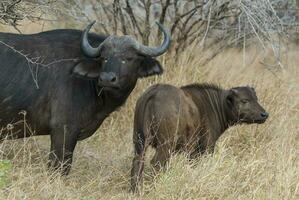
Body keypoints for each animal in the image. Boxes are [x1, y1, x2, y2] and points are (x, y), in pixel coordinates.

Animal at [131, 83, 270, 191]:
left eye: (256, 99)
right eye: (244, 100)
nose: (264, 114)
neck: (216, 105)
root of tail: (154, 92)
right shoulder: (205, 148)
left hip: (139, 143)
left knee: (138, 163)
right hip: (165, 144)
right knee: (157, 163)